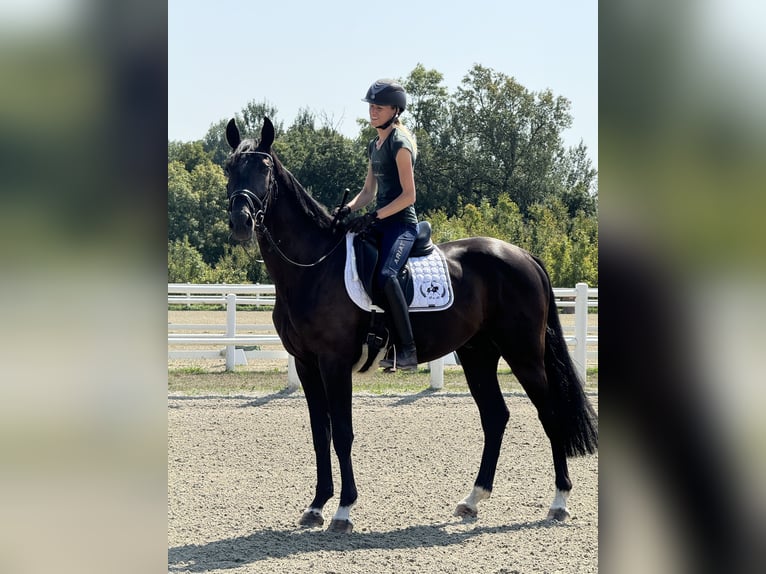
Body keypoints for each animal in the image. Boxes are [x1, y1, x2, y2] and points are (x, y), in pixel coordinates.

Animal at [225, 117, 596, 536]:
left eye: (264, 169)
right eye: (229, 168)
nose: (240, 221)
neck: (314, 267)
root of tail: (524, 256)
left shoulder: (334, 363)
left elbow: (342, 433)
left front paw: (344, 510)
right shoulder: (306, 364)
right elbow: (321, 433)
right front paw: (317, 505)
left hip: (523, 354)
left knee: (549, 414)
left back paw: (559, 501)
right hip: (478, 353)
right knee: (495, 416)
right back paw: (472, 499)